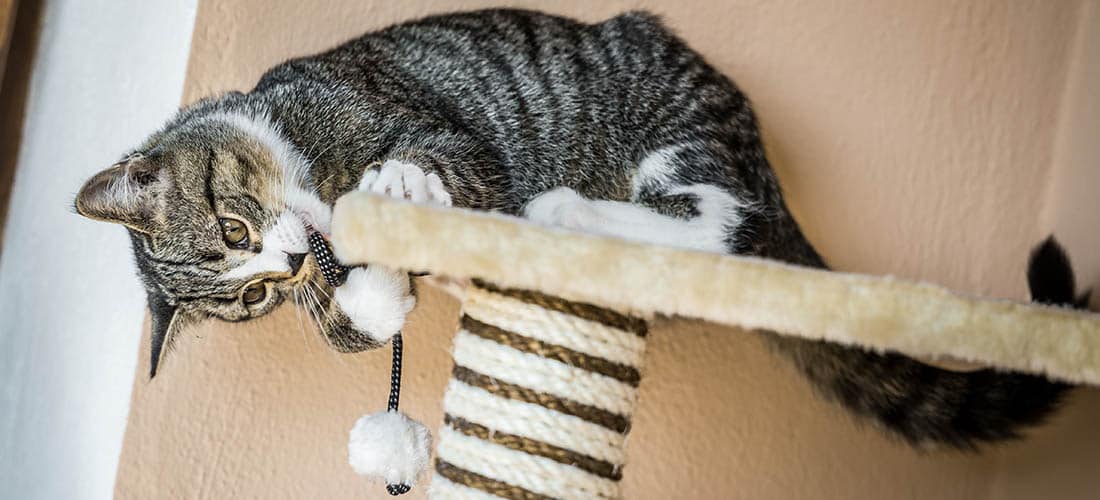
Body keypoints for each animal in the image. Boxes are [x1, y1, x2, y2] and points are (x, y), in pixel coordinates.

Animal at [75, 9, 1082, 452]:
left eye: (233, 227)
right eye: (254, 290)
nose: (285, 260)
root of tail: (751, 131)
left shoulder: (421, 120)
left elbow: (432, 156)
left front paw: (394, 185)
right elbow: (345, 329)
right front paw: (371, 298)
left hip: (668, 124)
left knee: (719, 224)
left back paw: (562, 210)